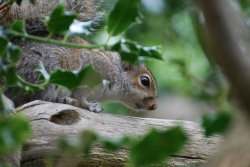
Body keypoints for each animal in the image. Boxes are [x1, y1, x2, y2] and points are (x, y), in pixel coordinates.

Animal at [0, 0, 157, 112]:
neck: (115, 72)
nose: (154, 106)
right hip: (42, 70)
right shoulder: (92, 69)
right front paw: (90, 105)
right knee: (32, 98)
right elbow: (81, 94)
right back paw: (65, 100)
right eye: (144, 81)